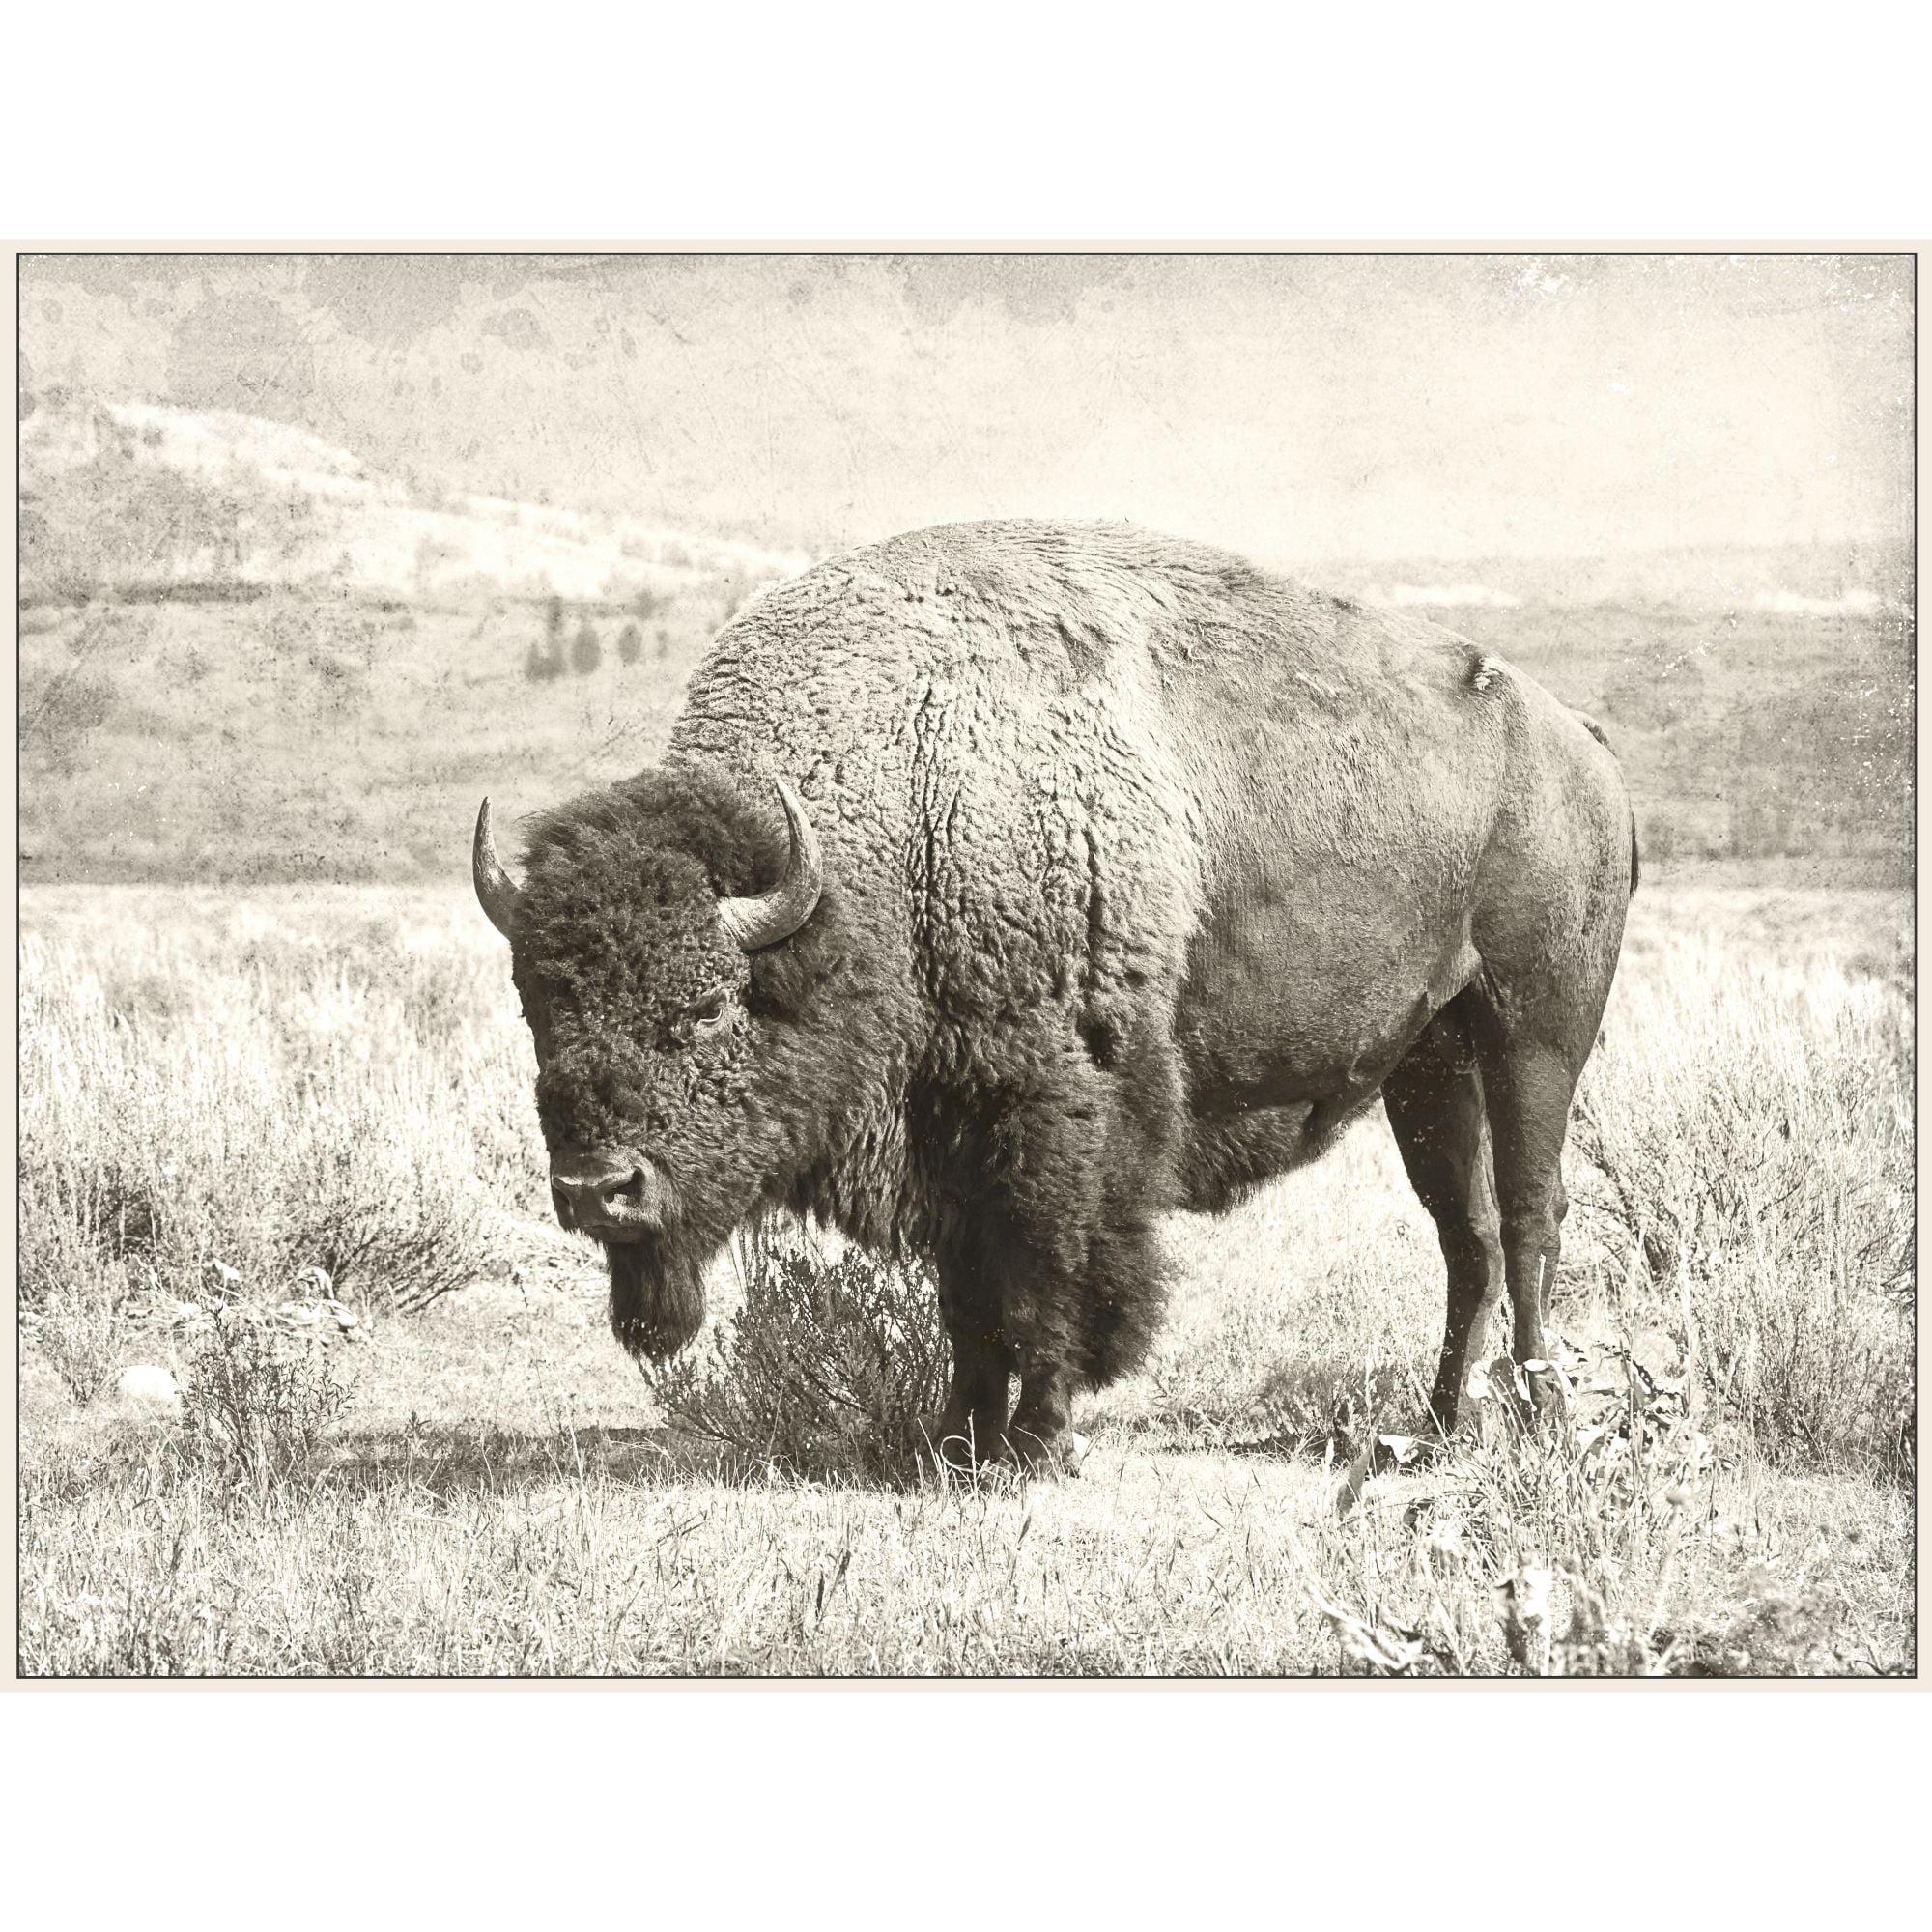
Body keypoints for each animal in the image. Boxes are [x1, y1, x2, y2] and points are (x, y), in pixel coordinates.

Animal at [473, 519, 1637, 1470]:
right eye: (536, 1007)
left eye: (710, 1005)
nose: (596, 1190)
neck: (900, 809)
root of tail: (1582, 747)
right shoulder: (944, 1130)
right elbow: (967, 1302)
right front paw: (955, 1441)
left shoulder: (1053, 1112)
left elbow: (1048, 1280)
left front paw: (1037, 1442)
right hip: (1427, 1061)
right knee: (1464, 1234)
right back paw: (1436, 1427)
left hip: (1534, 1031)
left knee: (1529, 1216)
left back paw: (1539, 1420)